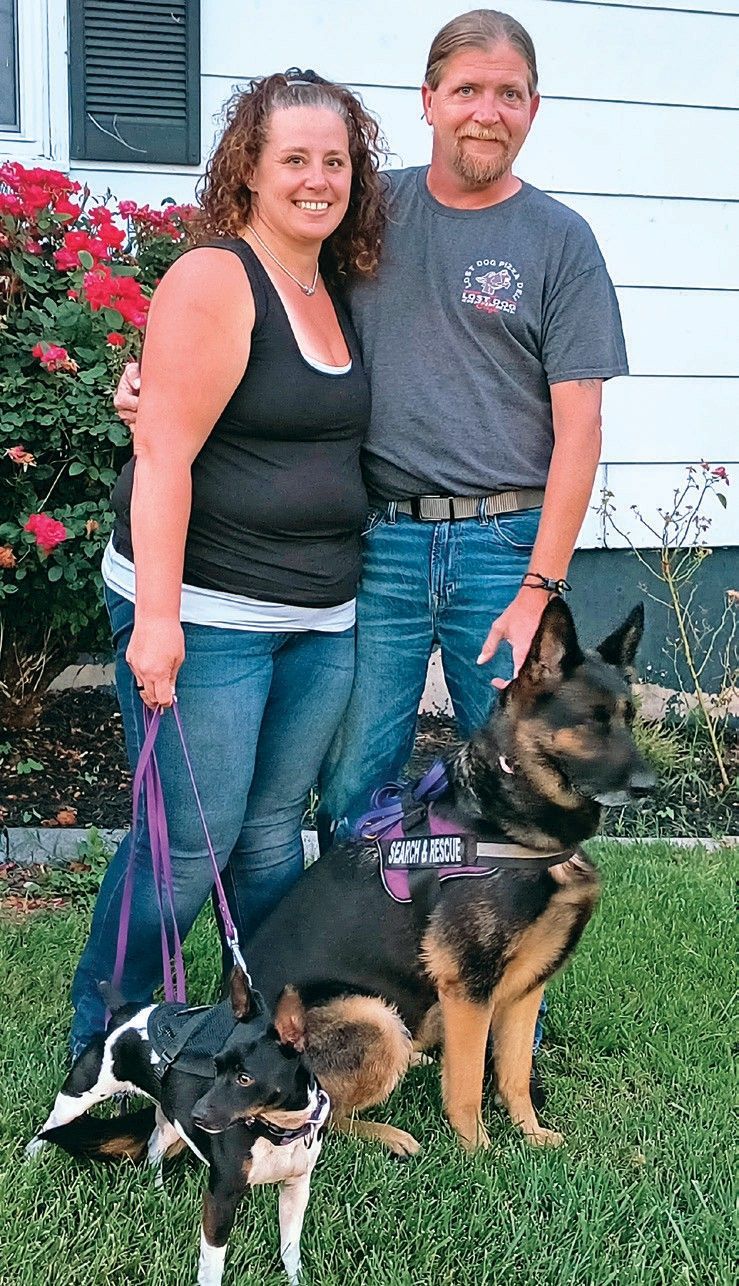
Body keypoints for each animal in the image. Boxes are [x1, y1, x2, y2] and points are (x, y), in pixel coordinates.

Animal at [28, 967, 329, 1280]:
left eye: (244, 1078)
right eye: (216, 1066)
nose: (197, 1114)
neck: (278, 1130)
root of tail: (123, 1011)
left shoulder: (296, 1188)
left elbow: (290, 1250)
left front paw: (295, 1279)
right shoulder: (220, 1197)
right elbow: (212, 1267)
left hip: (170, 1119)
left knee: (153, 1147)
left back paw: (159, 1193)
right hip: (76, 1099)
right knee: (45, 1130)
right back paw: (31, 1162)